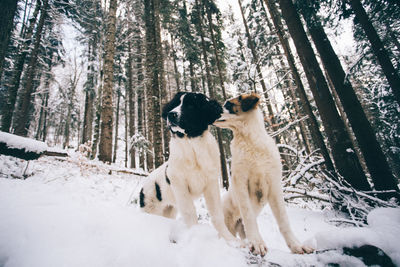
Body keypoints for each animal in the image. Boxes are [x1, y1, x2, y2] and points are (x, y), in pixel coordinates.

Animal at [214, 93, 314, 256]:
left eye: (228, 104)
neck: (249, 140)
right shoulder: (241, 183)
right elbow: (249, 215)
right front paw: (257, 243)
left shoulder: (274, 184)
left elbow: (283, 220)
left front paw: (297, 246)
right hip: (228, 223)